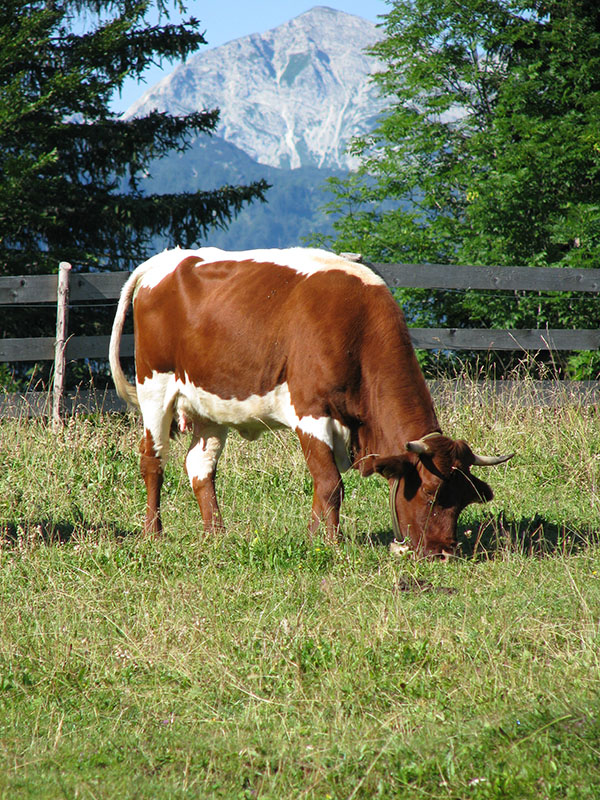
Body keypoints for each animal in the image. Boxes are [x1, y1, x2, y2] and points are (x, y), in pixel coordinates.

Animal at [109, 245, 510, 556]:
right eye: (429, 492)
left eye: (464, 498)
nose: (444, 552)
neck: (357, 327)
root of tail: (165, 260)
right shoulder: (311, 412)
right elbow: (330, 483)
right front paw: (328, 543)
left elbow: (326, 484)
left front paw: (317, 537)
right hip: (155, 387)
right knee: (152, 461)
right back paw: (154, 533)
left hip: (211, 405)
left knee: (200, 467)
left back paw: (216, 535)